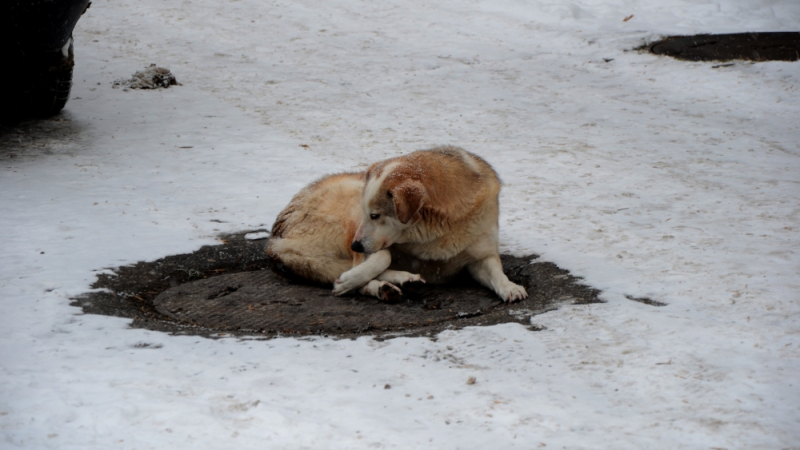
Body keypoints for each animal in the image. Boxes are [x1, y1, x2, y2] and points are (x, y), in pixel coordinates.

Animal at [268, 146, 528, 302]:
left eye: (375, 215)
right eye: (368, 214)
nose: (355, 246)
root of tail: (275, 239)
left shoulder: (481, 258)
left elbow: (496, 272)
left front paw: (510, 287)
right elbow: (383, 257)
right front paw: (353, 280)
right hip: (351, 206)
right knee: (356, 267)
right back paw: (382, 282)